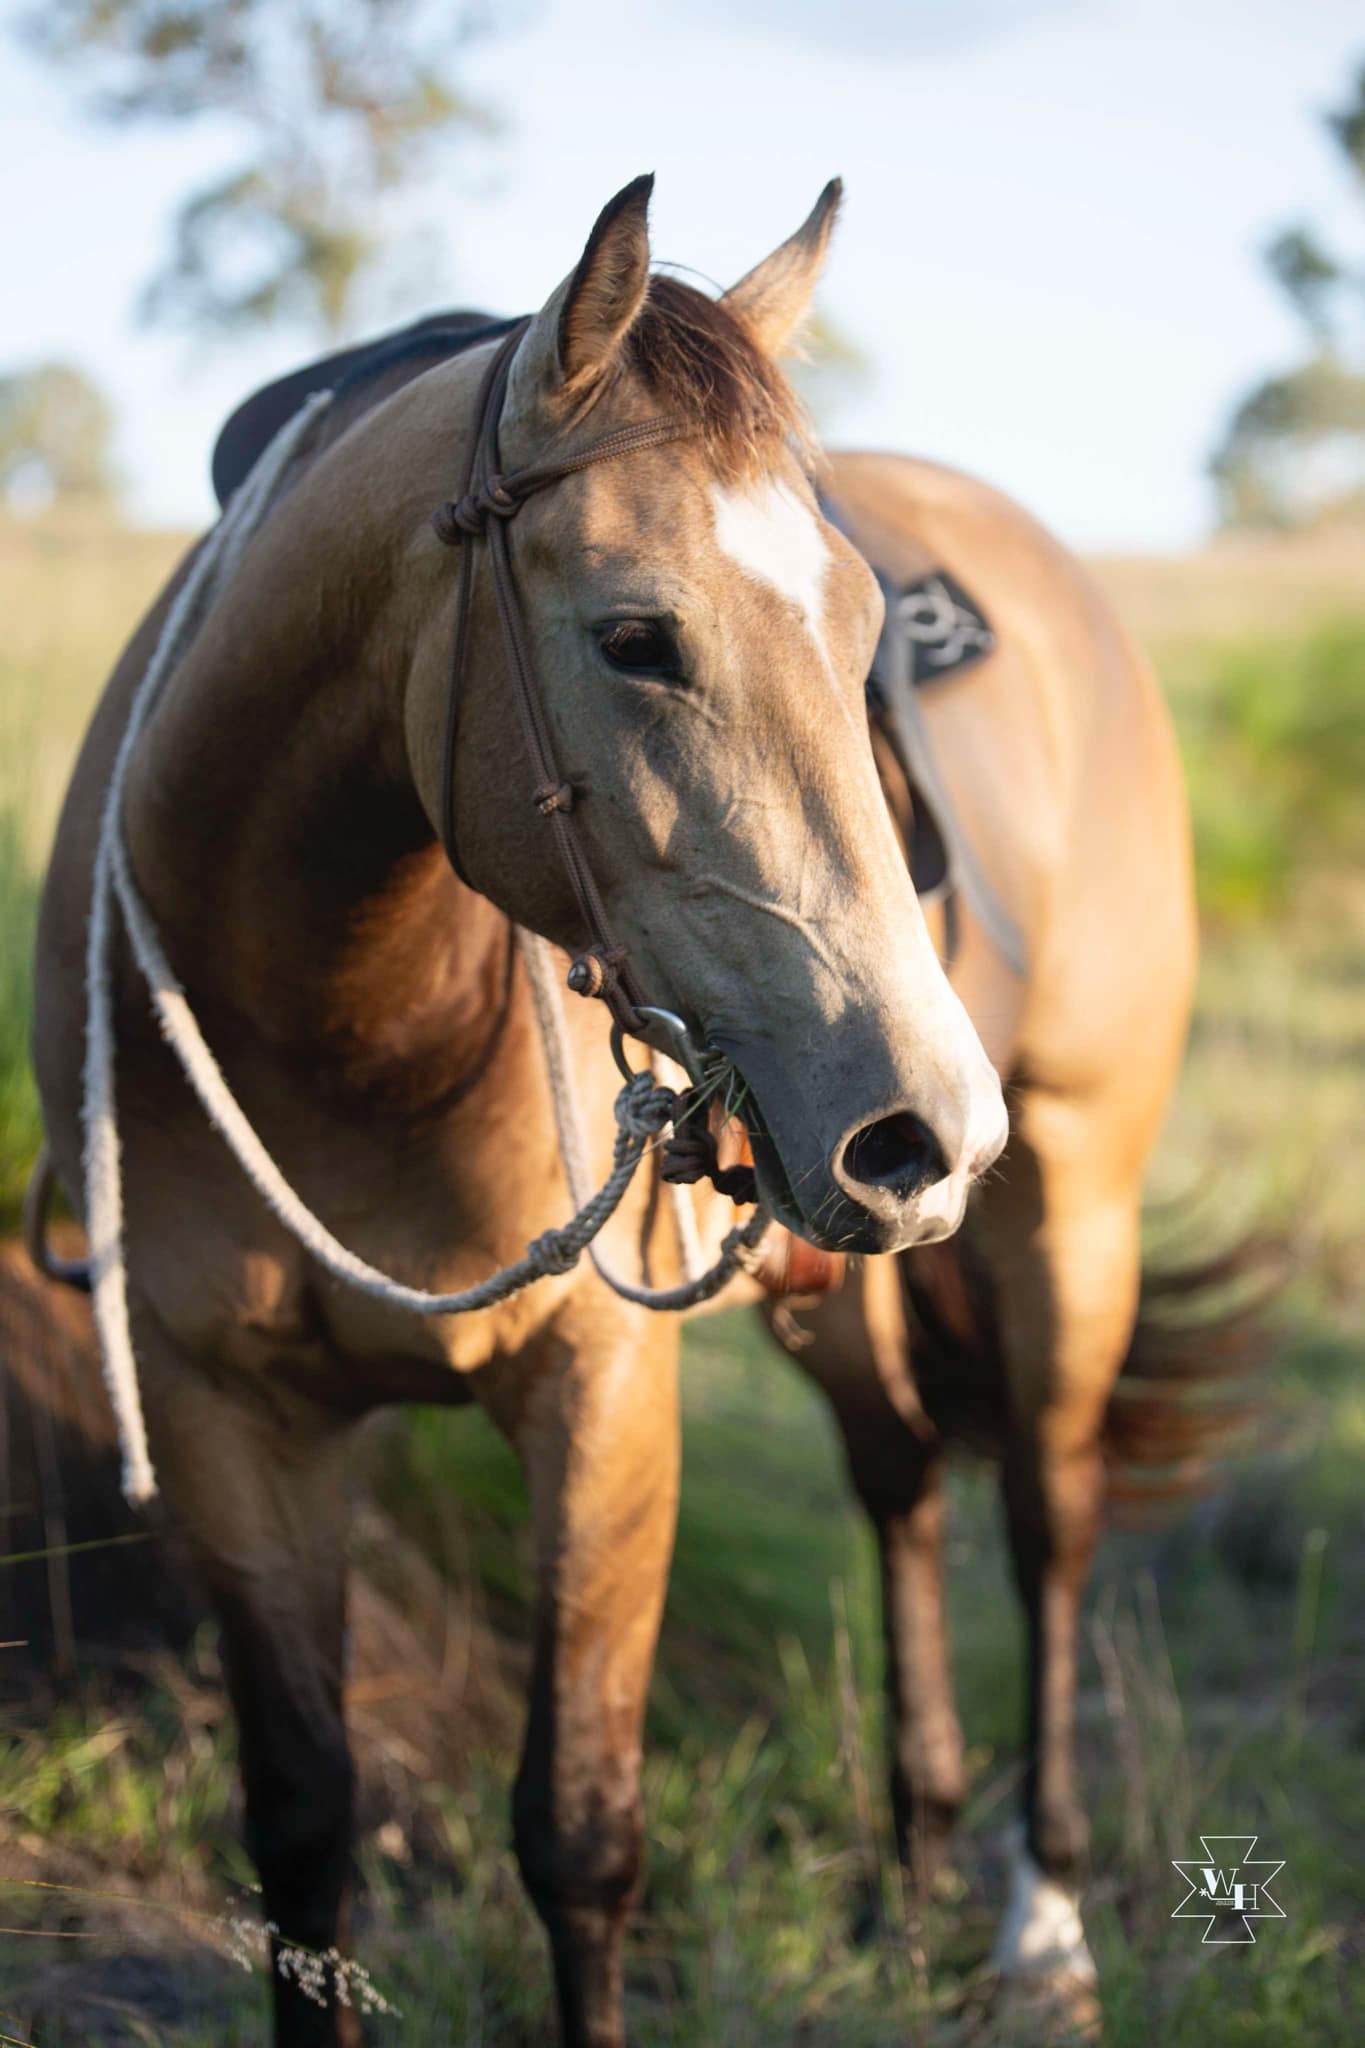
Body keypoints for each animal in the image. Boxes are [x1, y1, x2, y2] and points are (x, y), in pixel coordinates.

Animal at [31, 176, 1008, 2047]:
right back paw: (927, 1866)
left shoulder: (601, 1397)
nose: (929, 1131)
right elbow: (303, 1823)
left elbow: (579, 1829)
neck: (351, 1022)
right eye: (637, 636)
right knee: (906, 1472)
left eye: (859, 636)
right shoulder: (220, 1409)